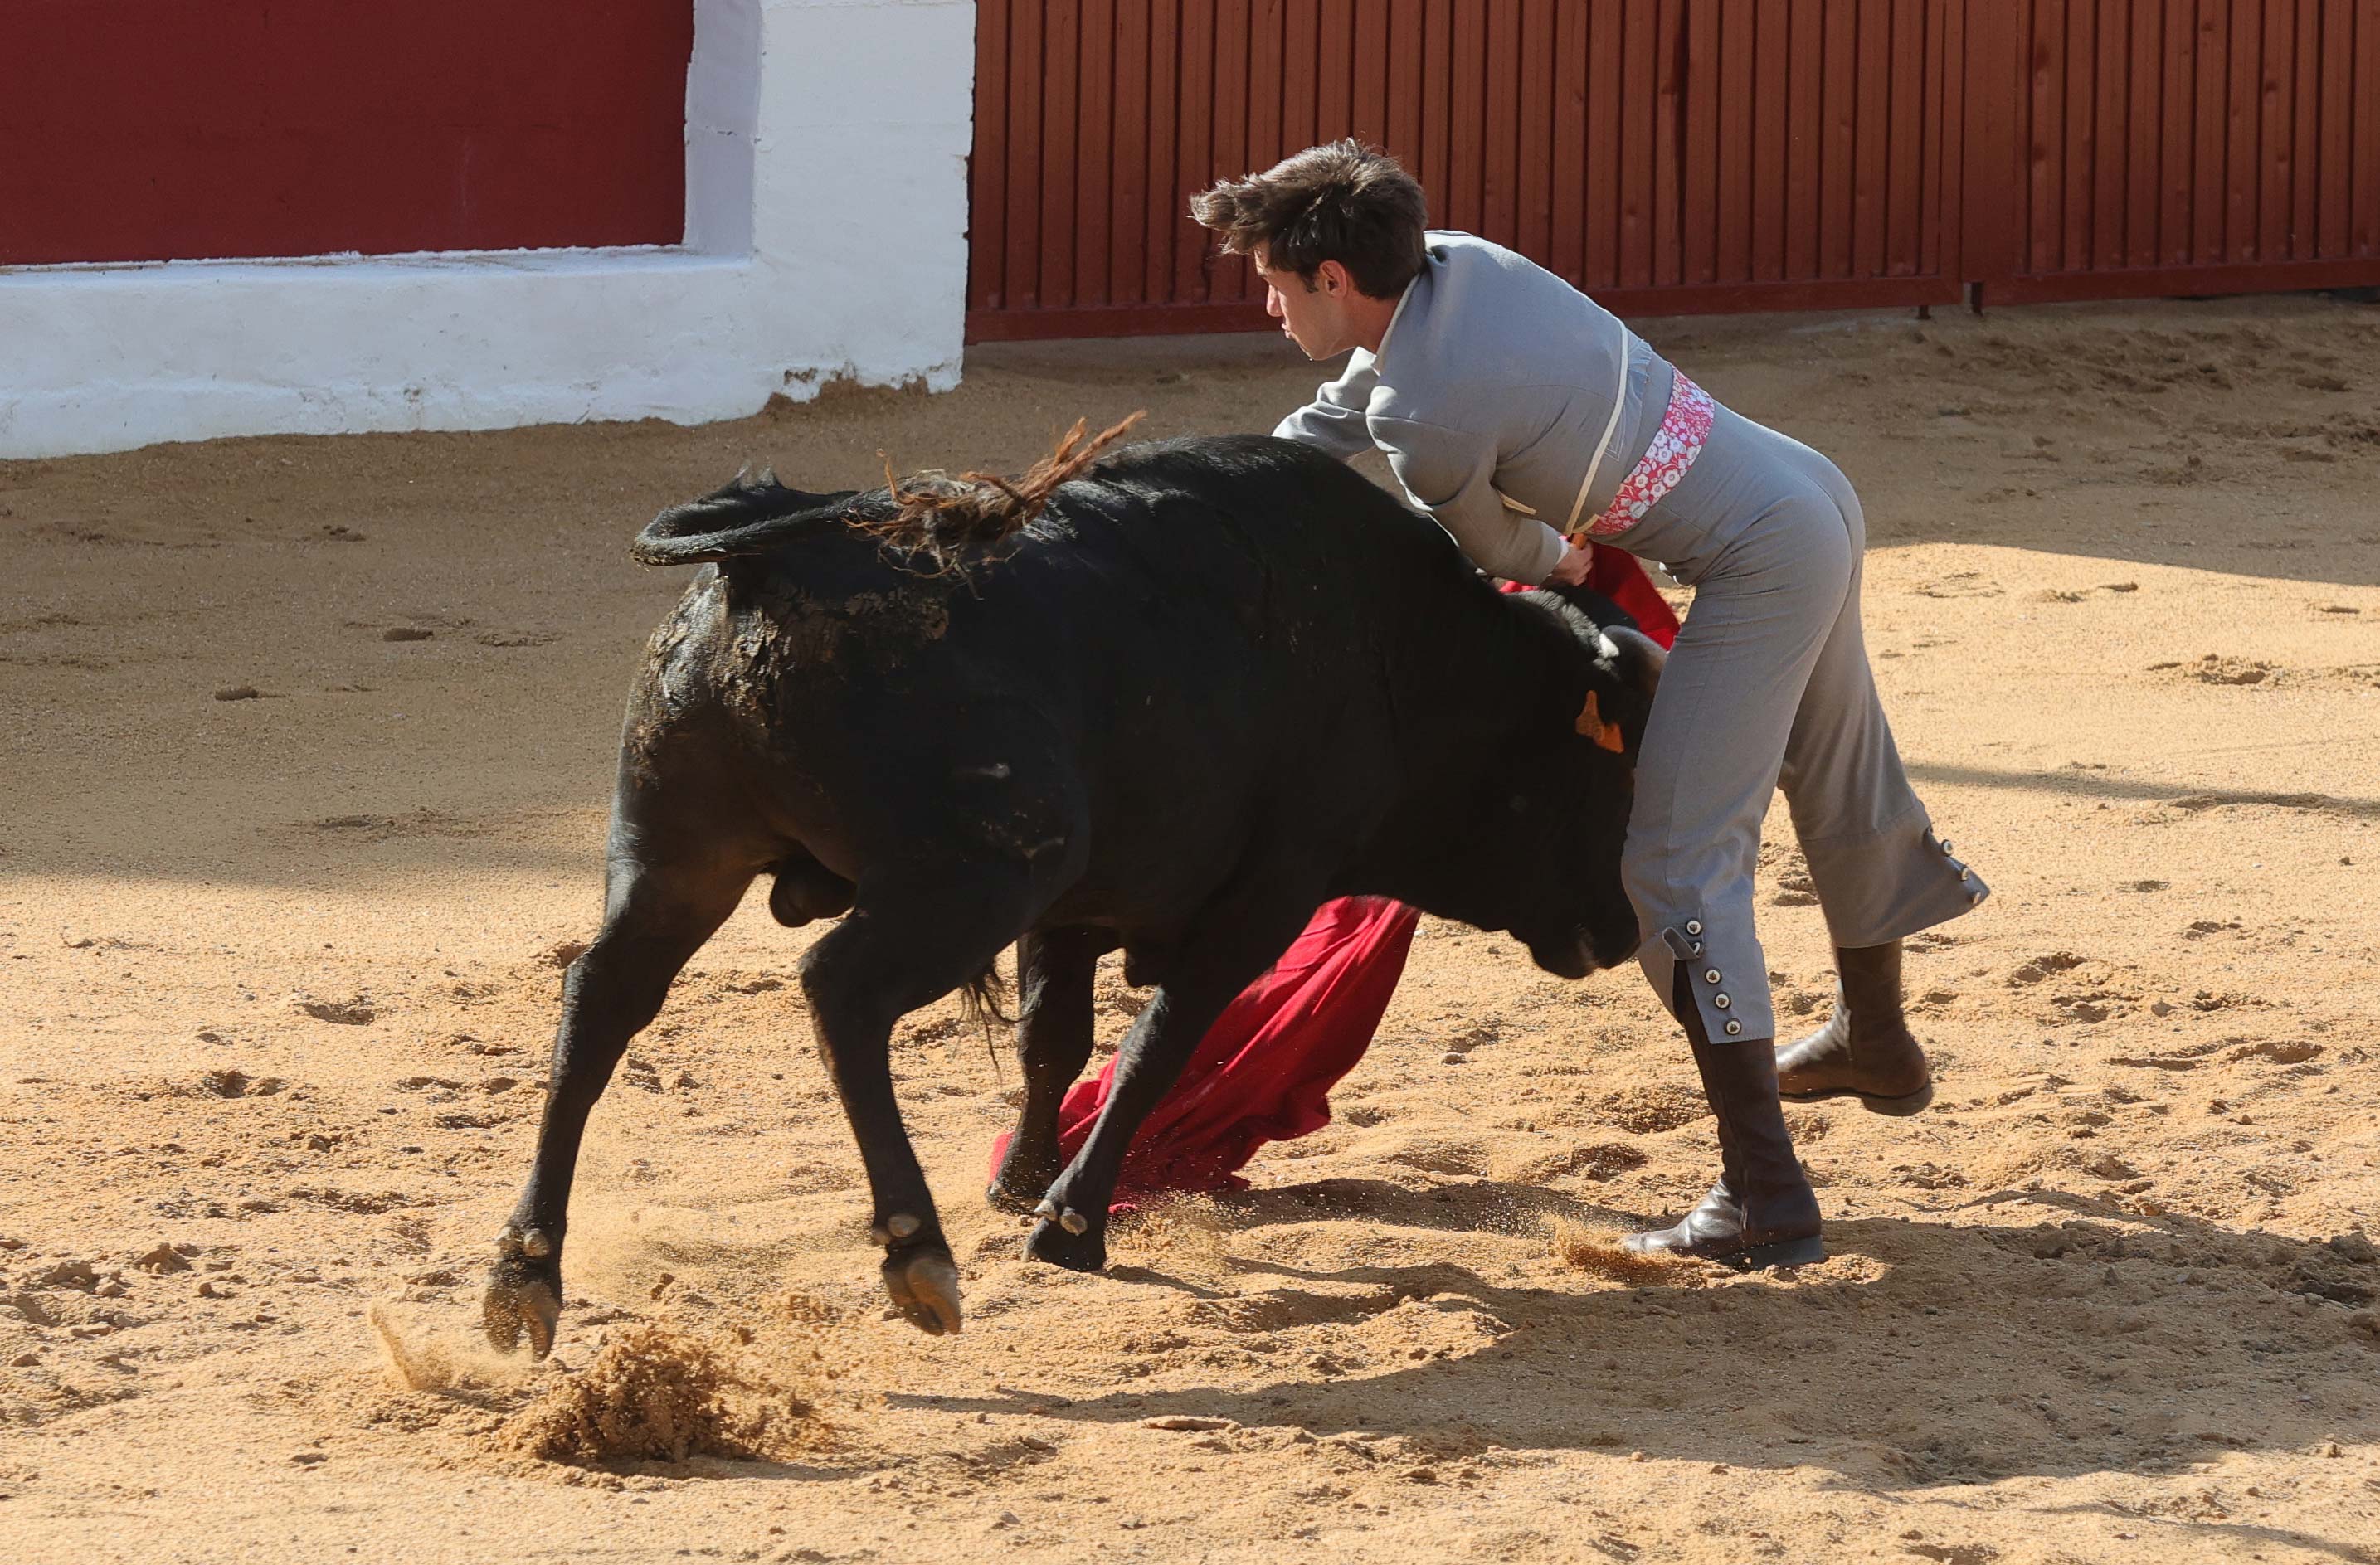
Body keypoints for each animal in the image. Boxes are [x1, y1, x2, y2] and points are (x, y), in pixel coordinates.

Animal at [473, 420, 1666, 1350]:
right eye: (1612, 771)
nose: (1622, 928)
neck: (1406, 656)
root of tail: (778, 554)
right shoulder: (1261, 895)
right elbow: (1158, 1044)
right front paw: (1070, 1224)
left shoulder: (1078, 907)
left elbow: (1058, 1037)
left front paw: (1018, 1187)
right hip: (980, 872)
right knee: (839, 991)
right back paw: (916, 1253)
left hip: (679, 854)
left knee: (602, 996)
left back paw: (525, 1272)